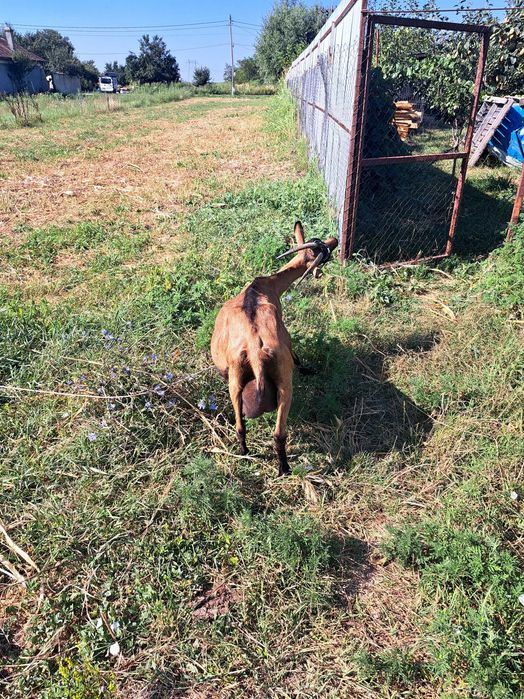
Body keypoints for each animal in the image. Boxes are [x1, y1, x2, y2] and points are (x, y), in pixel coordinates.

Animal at [211, 222, 338, 475]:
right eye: (323, 250)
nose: (335, 240)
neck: (264, 286)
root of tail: (254, 351)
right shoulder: (287, 339)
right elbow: (297, 356)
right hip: (283, 382)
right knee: (278, 433)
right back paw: (283, 468)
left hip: (237, 383)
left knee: (242, 427)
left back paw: (247, 455)